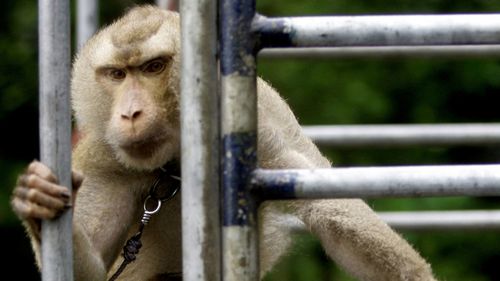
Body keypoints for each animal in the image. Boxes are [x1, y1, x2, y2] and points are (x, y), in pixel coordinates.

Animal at [10, 4, 438, 280]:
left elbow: (329, 210)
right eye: (117, 74)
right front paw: (36, 201)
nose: (129, 114)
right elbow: (92, 269)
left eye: (153, 67)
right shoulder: (103, 157)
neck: (175, 163)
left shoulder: (262, 130)